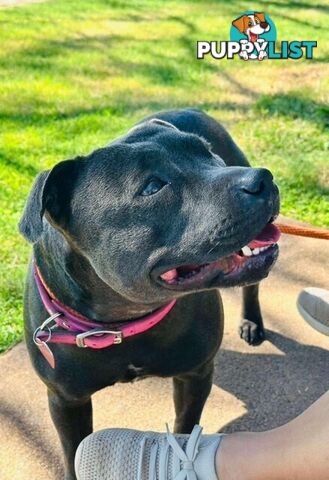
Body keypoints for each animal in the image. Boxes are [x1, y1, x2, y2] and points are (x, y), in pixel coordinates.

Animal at [19, 109, 278, 480]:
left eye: (208, 154)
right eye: (153, 187)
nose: (262, 178)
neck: (121, 321)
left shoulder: (195, 374)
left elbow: (186, 427)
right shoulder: (66, 401)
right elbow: (72, 451)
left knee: (251, 288)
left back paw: (252, 322)